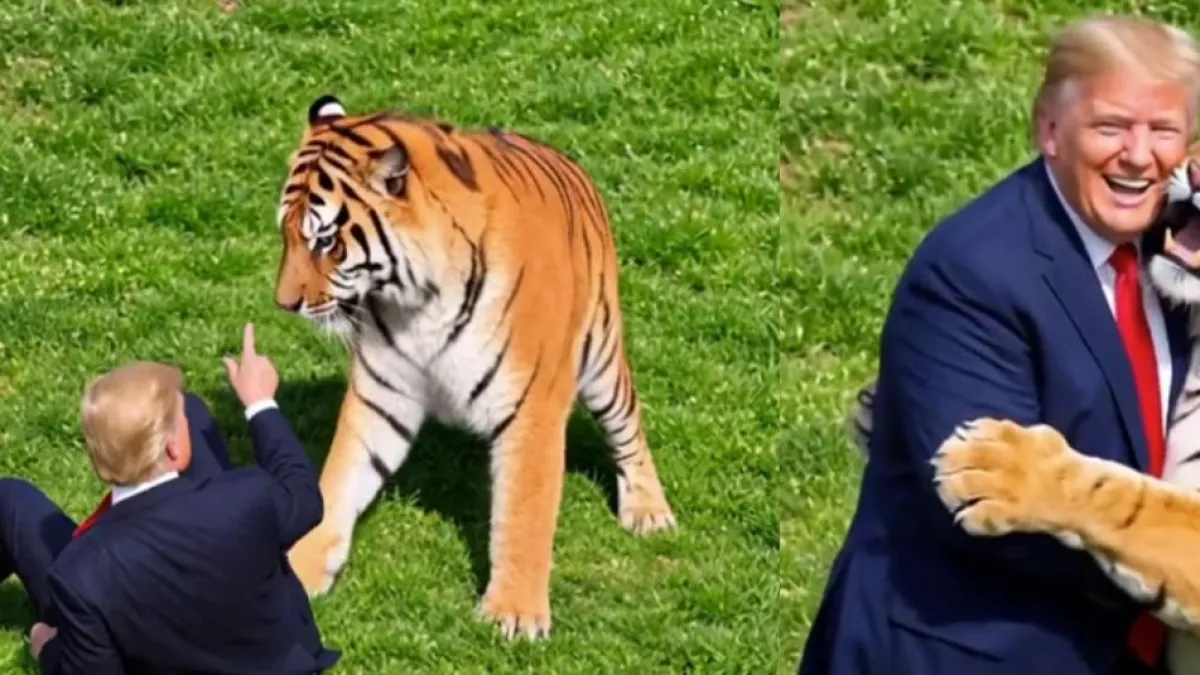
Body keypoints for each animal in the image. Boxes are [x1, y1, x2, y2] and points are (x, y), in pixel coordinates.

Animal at [271, 94, 677, 640]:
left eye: (327, 242)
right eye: (287, 233)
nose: (284, 303)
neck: (417, 300)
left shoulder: (532, 404)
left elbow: (524, 510)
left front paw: (514, 615)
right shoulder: (381, 396)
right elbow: (337, 483)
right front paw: (300, 570)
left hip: (602, 354)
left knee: (628, 424)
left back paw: (649, 512)